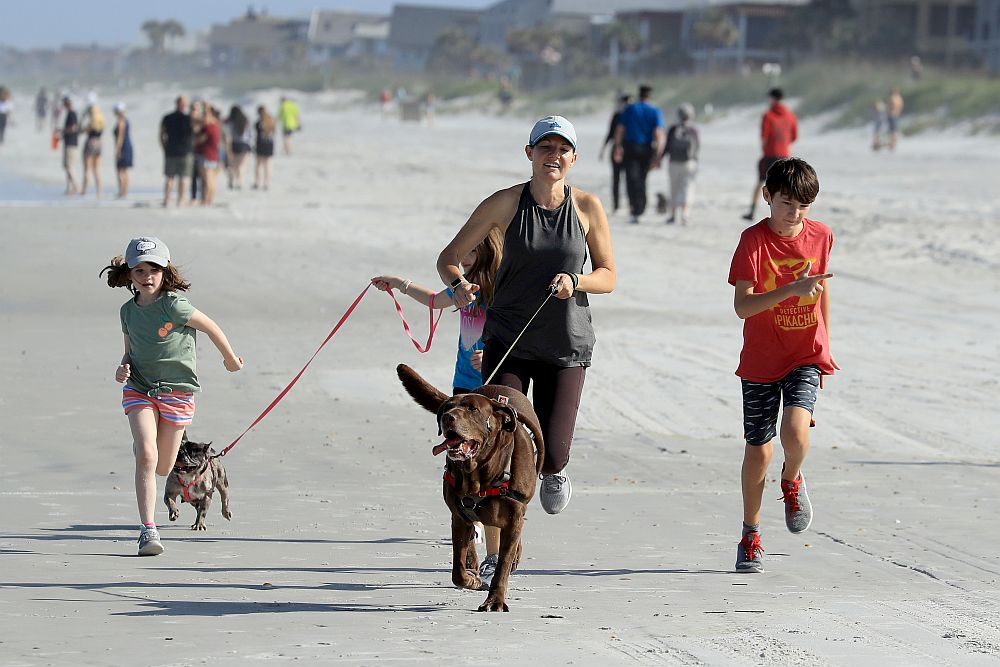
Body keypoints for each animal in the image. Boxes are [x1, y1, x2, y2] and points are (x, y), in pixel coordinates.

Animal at [394, 362, 544, 612]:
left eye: (473, 409)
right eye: (447, 408)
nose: (447, 418)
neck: (480, 474)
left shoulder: (514, 516)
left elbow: (503, 565)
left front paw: (495, 601)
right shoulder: (458, 515)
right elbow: (458, 568)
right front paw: (472, 579)